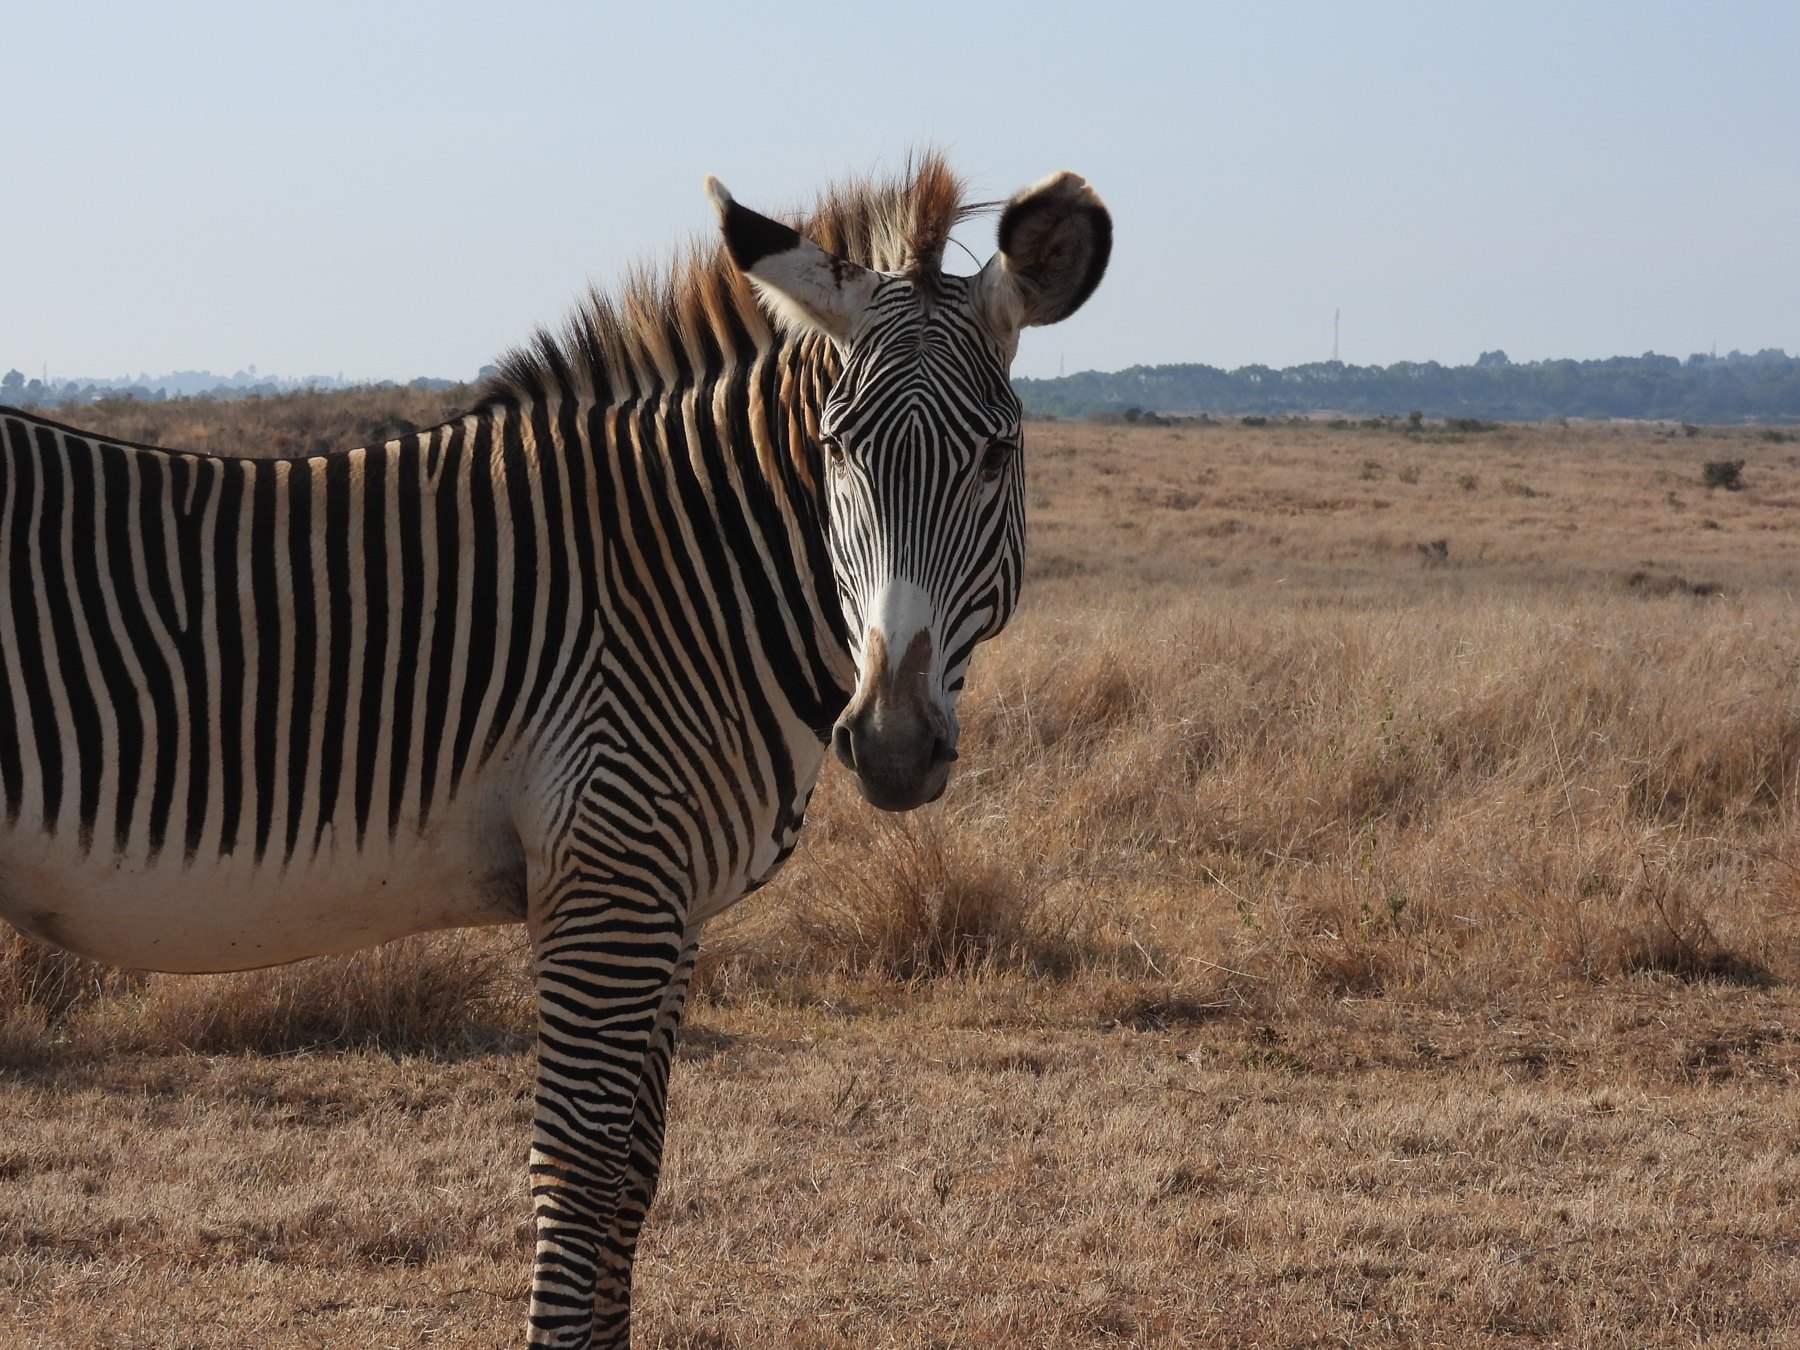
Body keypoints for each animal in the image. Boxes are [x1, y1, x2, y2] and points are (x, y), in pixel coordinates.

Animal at [0, 154, 1110, 1347]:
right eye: (834, 449)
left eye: (997, 454)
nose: (894, 746)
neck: (685, 579)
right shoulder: (606, 878)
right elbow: (578, 1176)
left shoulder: (669, 902)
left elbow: (634, 1175)